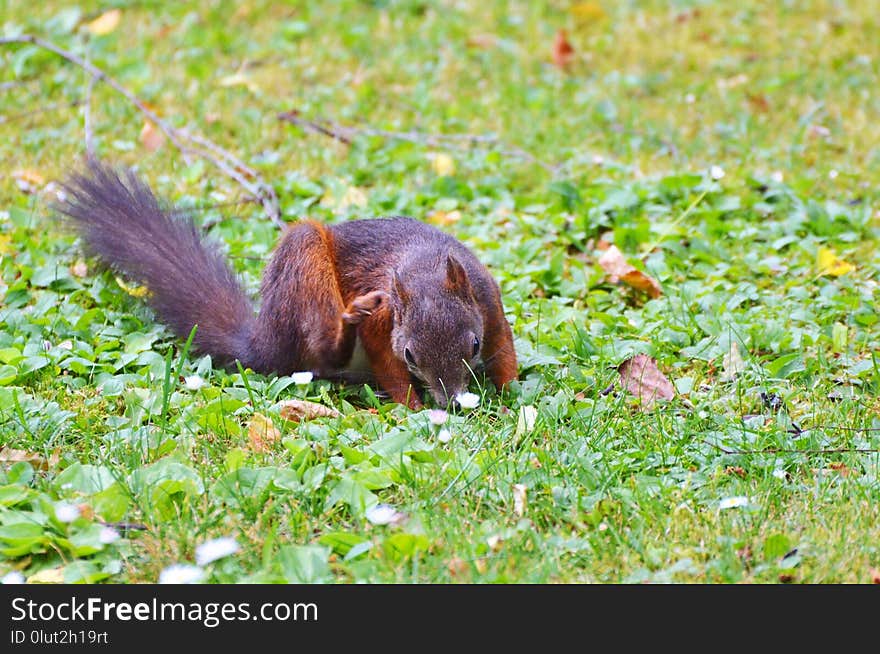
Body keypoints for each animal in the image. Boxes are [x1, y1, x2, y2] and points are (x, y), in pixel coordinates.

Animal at [55, 163, 516, 410]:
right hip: (303, 261)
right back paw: (348, 319)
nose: (451, 401)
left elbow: (504, 344)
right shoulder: (384, 321)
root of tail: (263, 340)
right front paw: (413, 406)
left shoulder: (487, 298)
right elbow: (386, 362)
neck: (421, 265)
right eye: (409, 355)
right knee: (326, 352)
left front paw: (510, 392)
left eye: (473, 345)